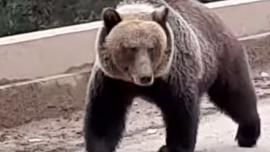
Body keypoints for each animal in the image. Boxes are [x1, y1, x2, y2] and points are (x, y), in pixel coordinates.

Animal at [83, 0, 260, 152]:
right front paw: (99, 146)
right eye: (130, 48)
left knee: (235, 95)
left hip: (221, 58)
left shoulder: (174, 73)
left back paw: (248, 135)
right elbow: (104, 117)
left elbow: (180, 112)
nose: (145, 76)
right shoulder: (112, 81)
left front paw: (173, 147)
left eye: (152, 47)